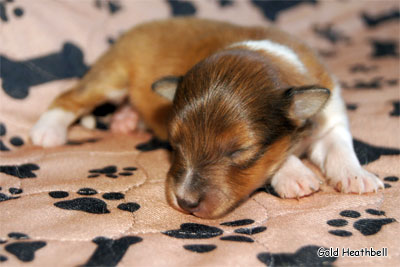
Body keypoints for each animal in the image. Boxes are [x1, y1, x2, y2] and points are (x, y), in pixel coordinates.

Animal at [29, 18, 382, 220]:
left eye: (238, 151)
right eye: (174, 143)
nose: (185, 201)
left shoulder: (331, 115)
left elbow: (339, 145)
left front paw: (357, 175)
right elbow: (281, 157)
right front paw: (295, 175)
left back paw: (126, 120)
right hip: (111, 78)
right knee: (69, 97)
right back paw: (47, 131)